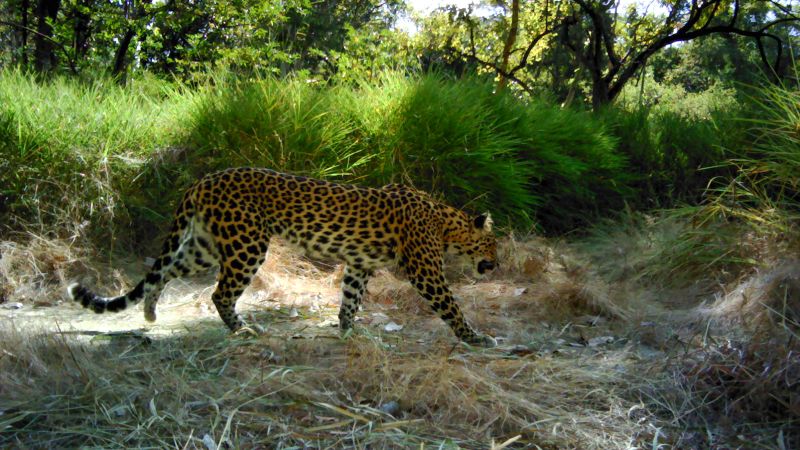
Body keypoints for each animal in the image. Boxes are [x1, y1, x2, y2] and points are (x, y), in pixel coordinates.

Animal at [69, 167, 496, 346]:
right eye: (492, 246)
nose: (497, 264)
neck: (446, 222)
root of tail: (204, 179)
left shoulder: (359, 265)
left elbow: (350, 299)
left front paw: (347, 331)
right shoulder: (426, 271)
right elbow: (451, 305)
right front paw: (475, 337)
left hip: (204, 246)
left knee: (165, 271)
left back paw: (150, 311)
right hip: (247, 244)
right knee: (219, 293)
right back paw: (242, 330)